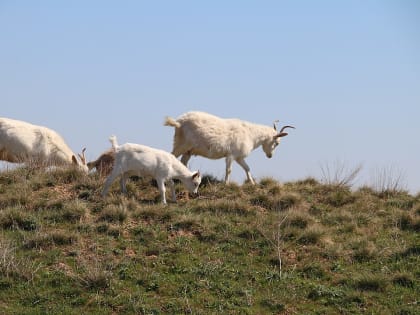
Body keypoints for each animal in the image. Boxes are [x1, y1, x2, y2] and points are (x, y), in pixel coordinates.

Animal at [164, 111, 296, 185]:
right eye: (277, 143)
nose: (270, 156)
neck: (250, 133)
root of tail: (179, 122)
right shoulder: (231, 155)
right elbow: (229, 170)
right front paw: (226, 184)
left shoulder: (239, 157)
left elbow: (247, 168)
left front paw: (252, 183)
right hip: (181, 144)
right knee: (172, 156)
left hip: (188, 150)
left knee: (183, 162)